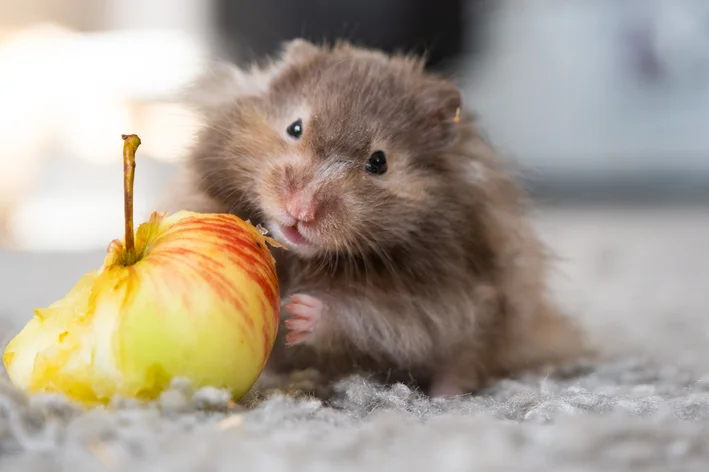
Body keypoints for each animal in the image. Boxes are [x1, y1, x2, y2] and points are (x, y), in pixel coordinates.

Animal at [163, 38, 588, 396]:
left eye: (379, 162)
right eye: (294, 127)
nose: (300, 211)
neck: (307, 258)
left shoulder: (432, 302)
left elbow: (364, 315)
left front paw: (296, 312)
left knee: (465, 360)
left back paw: (446, 395)